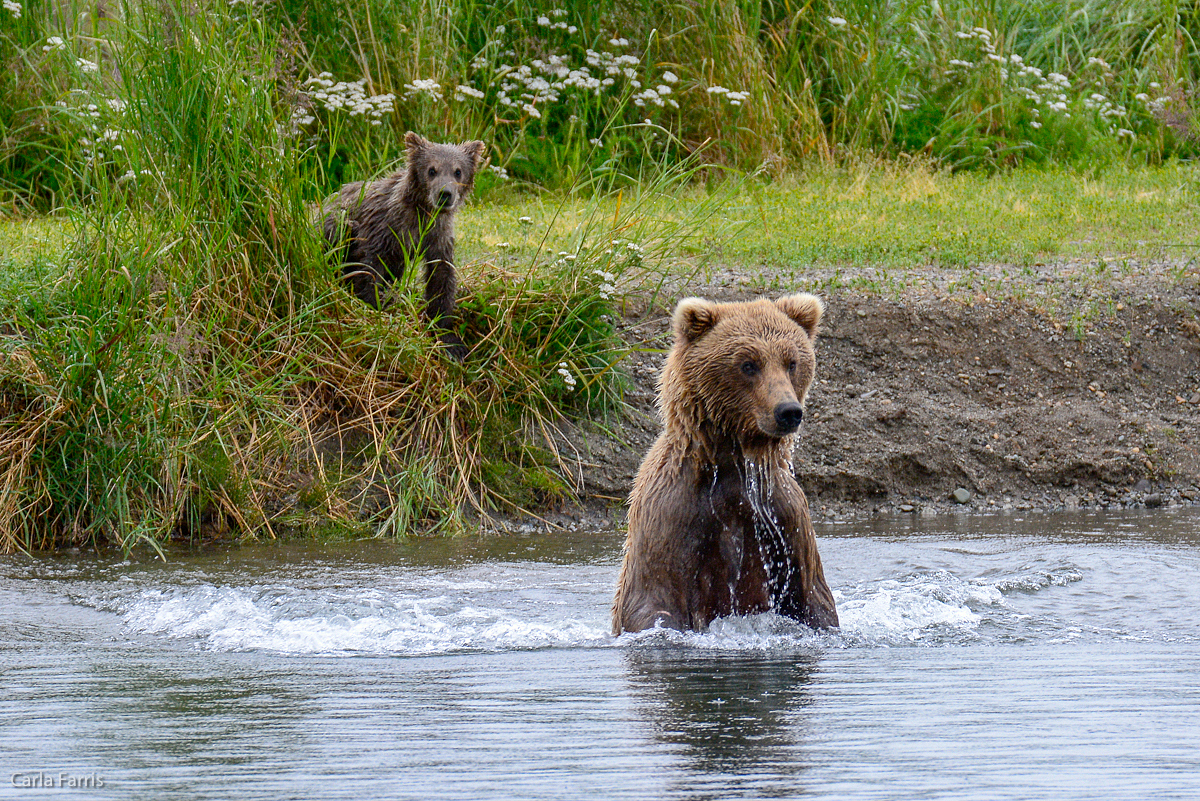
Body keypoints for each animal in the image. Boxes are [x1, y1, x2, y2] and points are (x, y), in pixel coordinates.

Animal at [324, 131, 487, 357]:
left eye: (458, 171)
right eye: (432, 170)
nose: (445, 194)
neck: (421, 213)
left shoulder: (438, 236)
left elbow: (441, 278)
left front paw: (449, 339)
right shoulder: (381, 230)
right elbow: (369, 269)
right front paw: (375, 307)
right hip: (337, 224)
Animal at [614, 292, 840, 633]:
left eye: (791, 362)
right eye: (748, 364)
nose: (788, 411)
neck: (733, 464)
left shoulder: (783, 519)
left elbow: (813, 598)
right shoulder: (672, 513)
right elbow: (652, 599)